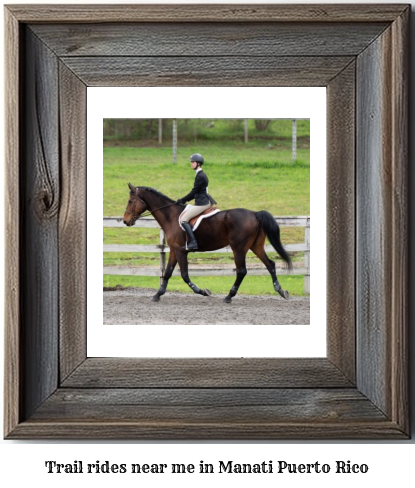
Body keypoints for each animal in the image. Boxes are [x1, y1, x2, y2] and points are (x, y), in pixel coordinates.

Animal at [123, 185, 292, 304]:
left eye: (131, 201)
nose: (125, 221)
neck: (171, 216)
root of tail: (255, 214)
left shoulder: (181, 251)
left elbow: (184, 275)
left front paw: (203, 291)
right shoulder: (173, 250)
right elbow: (168, 273)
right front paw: (157, 295)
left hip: (238, 248)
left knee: (242, 271)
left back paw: (229, 296)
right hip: (256, 246)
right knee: (270, 264)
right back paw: (281, 291)